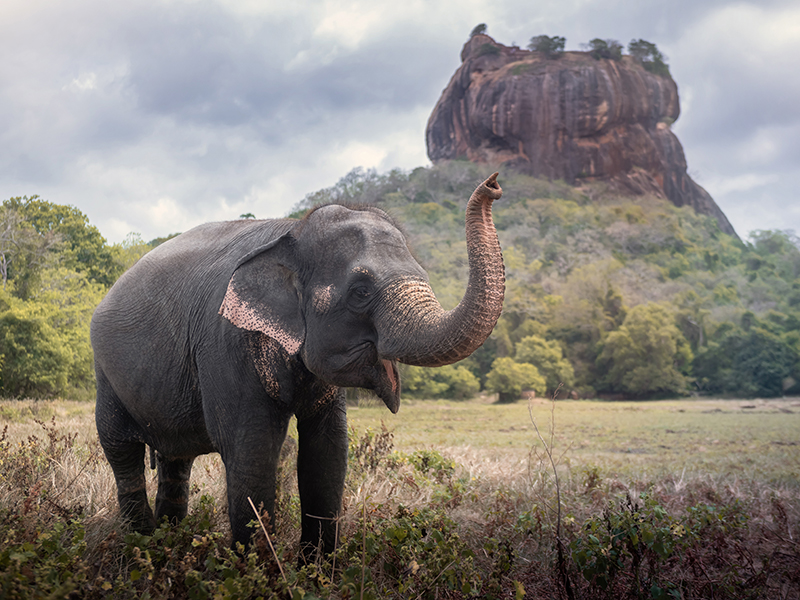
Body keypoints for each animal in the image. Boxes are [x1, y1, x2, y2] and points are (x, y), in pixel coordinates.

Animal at [92, 171, 506, 556]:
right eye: (360, 292)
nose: (494, 184)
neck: (291, 231)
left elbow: (327, 453)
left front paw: (316, 571)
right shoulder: (225, 343)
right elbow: (251, 453)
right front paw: (256, 570)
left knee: (176, 460)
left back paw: (166, 546)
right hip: (105, 374)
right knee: (122, 453)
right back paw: (140, 547)